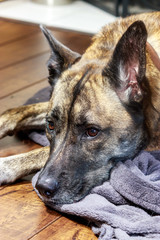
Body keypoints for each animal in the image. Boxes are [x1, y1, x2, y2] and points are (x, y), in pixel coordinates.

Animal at [0, 11, 160, 206]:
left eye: (92, 132)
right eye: (50, 125)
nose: (42, 188)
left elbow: (42, 151)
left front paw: (4, 166)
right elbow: (14, 112)